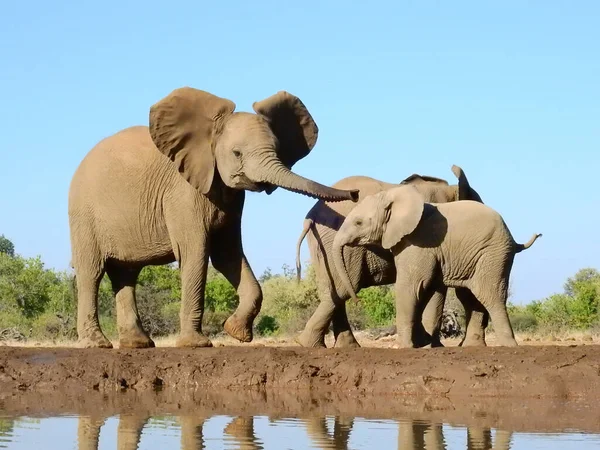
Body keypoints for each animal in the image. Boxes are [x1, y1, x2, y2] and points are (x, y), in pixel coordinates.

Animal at [70, 87, 360, 348]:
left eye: (278, 150)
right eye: (237, 153)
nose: (355, 193)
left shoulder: (230, 196)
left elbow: (227, 254)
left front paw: (236, 332)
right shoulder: (183, 192)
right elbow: (196, 252)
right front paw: (196, 344)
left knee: (126, 274)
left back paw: (138, 344)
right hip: (83, 213)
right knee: (91, 272)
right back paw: (97, 344)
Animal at [292, 165, 486, 348]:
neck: (452, 189)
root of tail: (311, 216)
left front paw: (423, 342)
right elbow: (437, 290)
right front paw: (432, 346)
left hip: (323, 245)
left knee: (333, 292)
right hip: (339, 243)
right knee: (342, 290)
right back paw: (310, 344)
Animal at [330, 183, 540, 348]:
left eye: (358, 223)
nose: (358, 301)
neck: (395, 198)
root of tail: (513, 238)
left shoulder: (417, 243)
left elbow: (410, 286)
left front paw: (403, 347)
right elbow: (428, 291)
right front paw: (425, 345)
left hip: (493, 253)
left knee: (490, 294)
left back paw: (509, 346)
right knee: (470, 297)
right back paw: (469, 346)